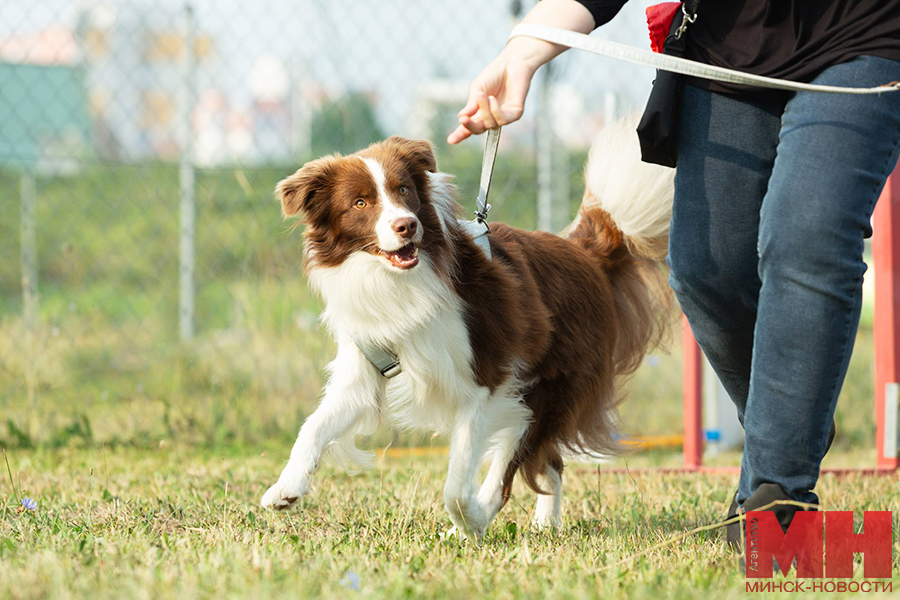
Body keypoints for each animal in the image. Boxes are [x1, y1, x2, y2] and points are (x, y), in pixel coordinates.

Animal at [260, 118, 676, 540]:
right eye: (360, 203)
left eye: (404, 190)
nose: (406, 225)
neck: (400, 281)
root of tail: (584, 252)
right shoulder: (365, 368)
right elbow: (314, 426)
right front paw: (286, 487)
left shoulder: (485, 382)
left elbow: (457, 484)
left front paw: (471, 520)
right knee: (549, 463)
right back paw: (545, 524)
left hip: (546, 389)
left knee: (515, 465)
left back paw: (480, 519)